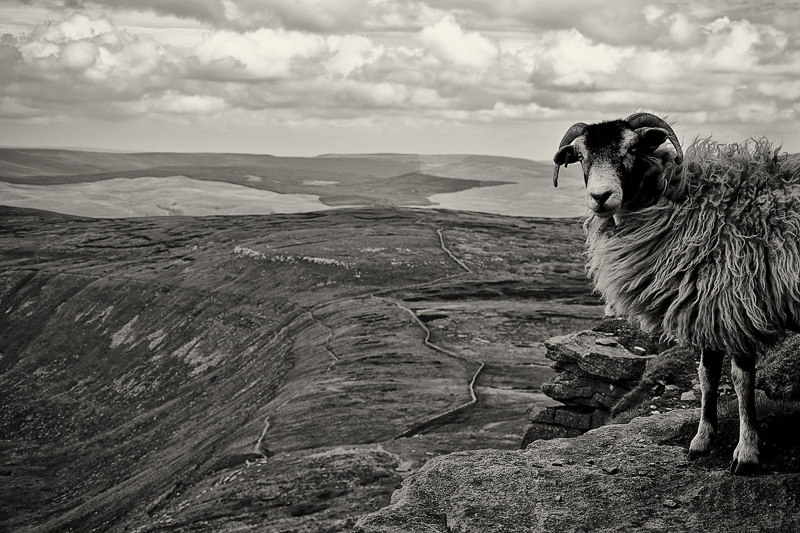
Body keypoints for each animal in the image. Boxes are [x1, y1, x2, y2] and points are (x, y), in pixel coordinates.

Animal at [552, 112, 800, 474]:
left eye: (633, 148)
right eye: (581, 155)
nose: (600, 197)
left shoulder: (736, 305)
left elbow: (741, 380)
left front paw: (747, 452)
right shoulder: (707, 307)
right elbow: (707, 375)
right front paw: (702, 440)